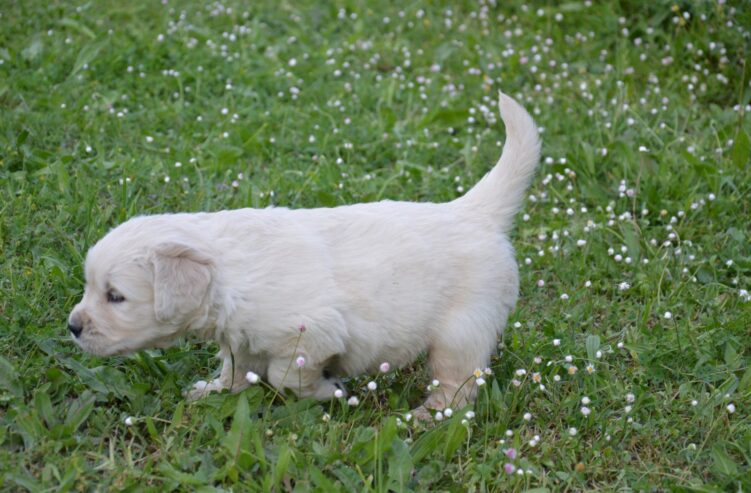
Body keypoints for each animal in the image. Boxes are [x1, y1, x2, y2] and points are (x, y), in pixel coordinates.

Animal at [69, 92, 540, 416]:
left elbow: (286, 375)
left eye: (115, 297)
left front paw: (327, 392)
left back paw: (428, 417)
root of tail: (472, 210)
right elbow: (236, 367)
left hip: (462, 331)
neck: (230, 273)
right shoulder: (240, 337)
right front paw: (216, 391)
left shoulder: (313, 333)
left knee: (458, 386)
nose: (72, 327)